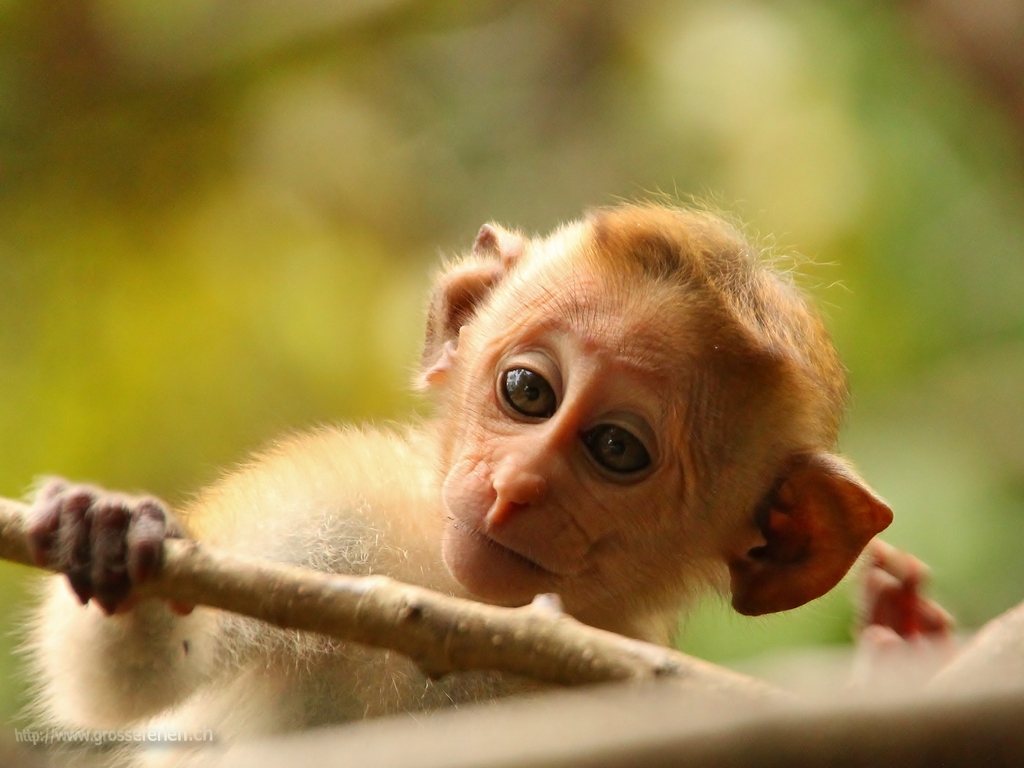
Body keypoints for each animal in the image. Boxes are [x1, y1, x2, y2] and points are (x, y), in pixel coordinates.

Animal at [22, 203, 892, 761]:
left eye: (616, 448)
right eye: (527, 391)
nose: (517, 486)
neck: (474, 610)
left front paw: (894, 642)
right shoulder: (328, 503)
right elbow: (124, 680)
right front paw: (112, 533)